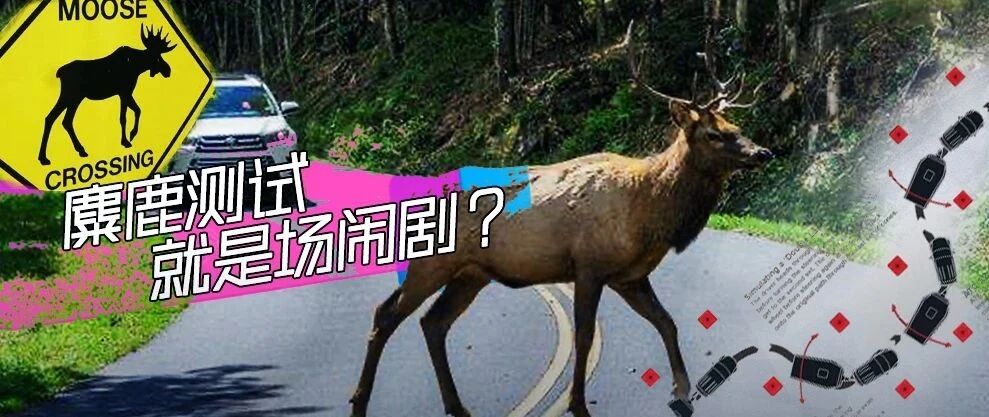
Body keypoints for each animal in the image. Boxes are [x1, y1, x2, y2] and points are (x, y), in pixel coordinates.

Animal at [38, 24, 176, 166]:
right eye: (157, 57)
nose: (168, 70)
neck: (138, 67)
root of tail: (59, 73)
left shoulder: (125, 93)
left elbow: (133, 112)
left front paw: (129, 137)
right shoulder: (125, 92)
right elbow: (127, 115)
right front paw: (128, 138)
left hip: (72, 98)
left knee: (58, 119)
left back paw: (62, 153)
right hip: (71, 96)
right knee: (58, 119)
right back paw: (56, 155)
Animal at [350, 22, 773, 417]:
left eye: (736, 128)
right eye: (713, 134)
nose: (763, 152)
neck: (649, 213)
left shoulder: (630, 275)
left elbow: (666, 321)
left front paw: (681, 393)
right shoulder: (588, 266)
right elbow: (585, 336)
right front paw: (579, 404)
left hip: (472, 273)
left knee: (433, 323)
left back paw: (456, 406)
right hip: (431, 263)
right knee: (386, 314)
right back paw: (359, 402)